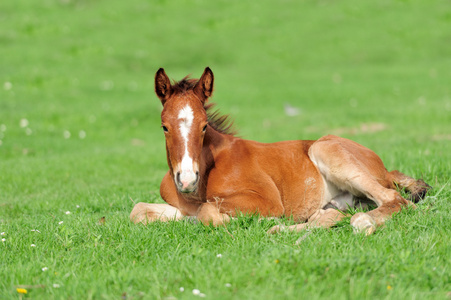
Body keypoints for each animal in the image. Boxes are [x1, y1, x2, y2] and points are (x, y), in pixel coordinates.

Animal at [131, 67, 430, 234]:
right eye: (164, 127)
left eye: (204, 126)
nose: (186, 180)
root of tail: (384, 167)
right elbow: (138, 211)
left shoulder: (267, 200)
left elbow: (207, 211)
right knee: (336, 213)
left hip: (326, 150)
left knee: (395, 199)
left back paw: (364, 223)